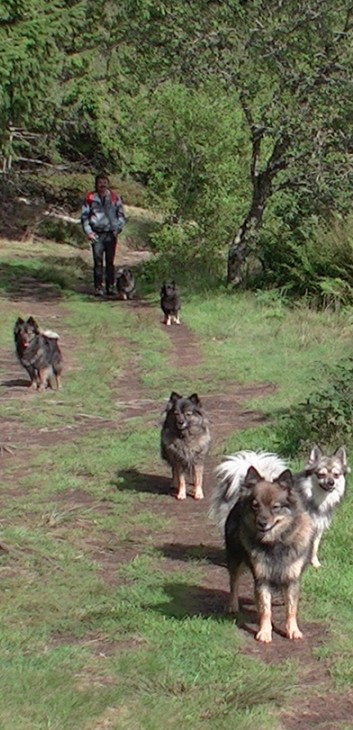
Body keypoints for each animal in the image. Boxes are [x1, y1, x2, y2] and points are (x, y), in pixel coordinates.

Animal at [224, 464, 312, 640]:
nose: (262, 522)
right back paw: (233, 605)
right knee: (233, 581)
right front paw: (264, 633)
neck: (275, 542)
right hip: (234, 557)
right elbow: (265, 609)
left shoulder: (292, 577)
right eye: (255, 505)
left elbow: (292, 608)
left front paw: (293, 630)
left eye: (275, 507)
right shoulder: (262, 578)